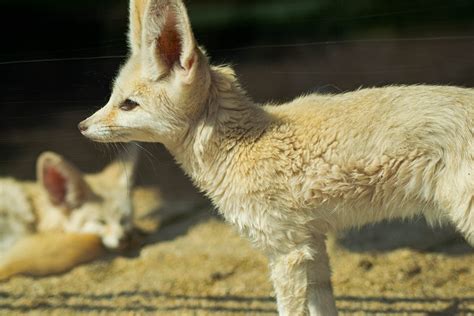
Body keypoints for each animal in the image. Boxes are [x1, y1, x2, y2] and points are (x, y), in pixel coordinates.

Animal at [78, 1, 474, 314]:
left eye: (128, 105)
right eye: (112, 98)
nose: (82, 127)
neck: (244, 143)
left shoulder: (287, 251)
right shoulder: (312, 245)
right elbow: (324, 308)